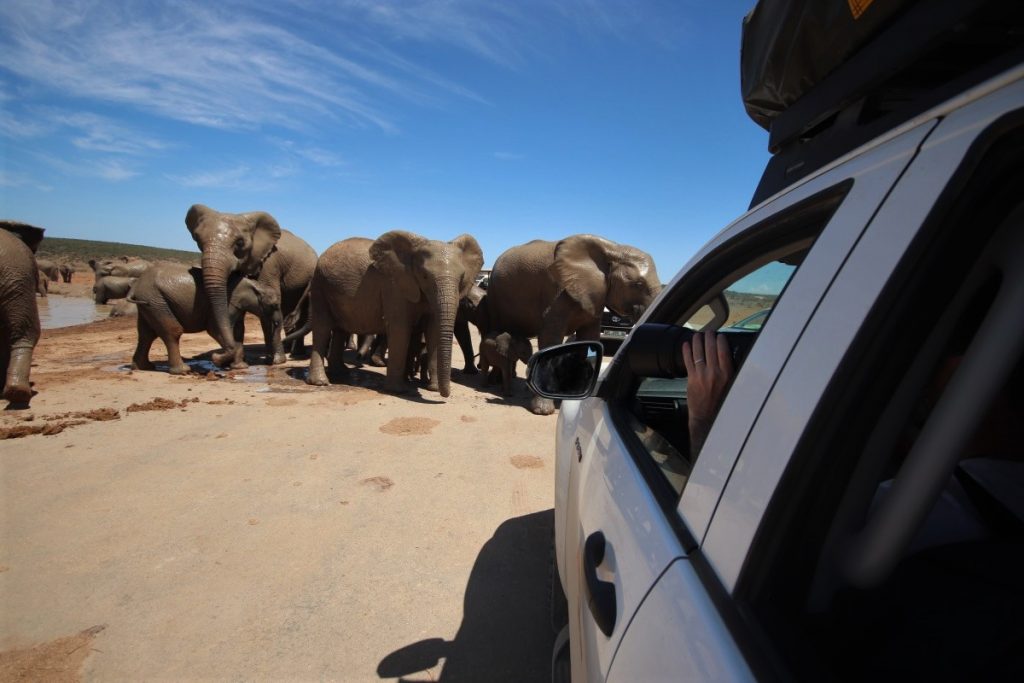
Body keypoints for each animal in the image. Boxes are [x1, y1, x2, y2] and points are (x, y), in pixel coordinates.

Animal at [130, 264, 280, 378]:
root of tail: (135, 287)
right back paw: (183, 371)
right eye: (274, 305)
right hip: (157, 301)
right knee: (172, 331)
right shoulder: (228, 302)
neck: (254, 285)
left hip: (150, 304)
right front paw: (220, 361)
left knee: (146, 335)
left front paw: (238, 366)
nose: (214, 356)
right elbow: (215, 329)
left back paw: (143, 367)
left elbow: (236, 332)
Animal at [184, 205, 317, 370]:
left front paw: (274, 361)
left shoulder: (269, 262)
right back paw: (288, 349)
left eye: (240, 243)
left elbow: (267, 312)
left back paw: (295, 355)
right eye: (197, 239)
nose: (215, 358)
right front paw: (239, 364)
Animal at [299, 232, 483, 397]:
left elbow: (433, 331)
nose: (446, 395)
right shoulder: (394, 286)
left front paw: (433, 389)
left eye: (462, 277)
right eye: (424, 276)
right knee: (323, 328)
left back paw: (341, 373)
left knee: (340, 329)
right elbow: (400, 329)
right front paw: (398, 390)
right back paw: (321, 382)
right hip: (319, 285)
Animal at [487, 235, 663, 417]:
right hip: (493, 293)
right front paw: (543, 410)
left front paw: (571, 396)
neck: (613, 249)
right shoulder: (556, 292)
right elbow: (550, 339)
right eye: (638, 284)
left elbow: (588, 339)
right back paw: (496, 383)